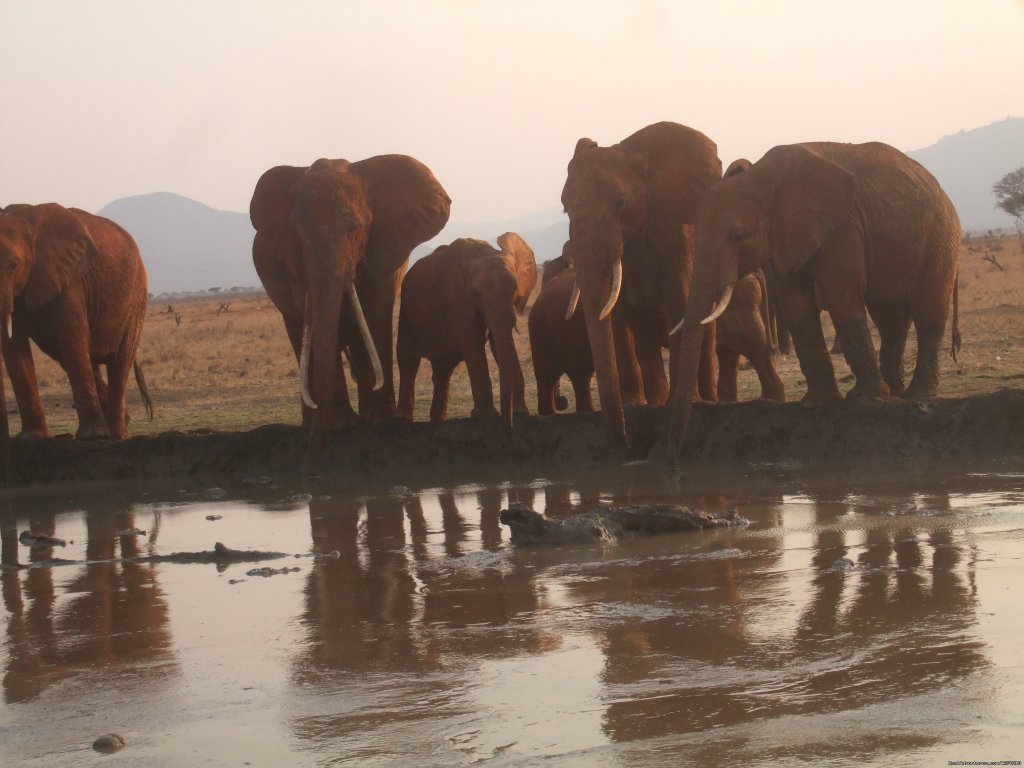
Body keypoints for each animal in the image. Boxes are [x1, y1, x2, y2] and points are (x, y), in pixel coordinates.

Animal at [0, 204, 153, 479]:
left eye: (13, 265)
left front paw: (91, 438)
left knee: (119, 360)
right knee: (85, 361)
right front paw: (30, 439)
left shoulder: (70, 280)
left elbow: (71, 336)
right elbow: (13, 348)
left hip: (136, 298)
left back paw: (117, 436)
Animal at [249, 154, 450, 466]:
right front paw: (342, 426)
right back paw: (313, 421)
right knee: (297, 329)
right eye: (298, 234)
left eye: (355, 228)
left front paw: (378, 421)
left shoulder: (383, 249)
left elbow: (375, 311)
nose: (308, 468)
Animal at [393, 231, 536, 430]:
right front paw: (485, 416)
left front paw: (521, 413)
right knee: (408, 360)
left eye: (515, 289)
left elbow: (497, 344)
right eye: (476, 293)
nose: (509, 425)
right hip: (406, 313)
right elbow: (473, 346)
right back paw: (403, 419)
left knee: (442, 369)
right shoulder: (457, 303)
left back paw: (438, 420)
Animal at [561, 119, 720, 444]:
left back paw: (709, 400)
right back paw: (655, 401)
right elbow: (616, 312)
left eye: (620, 204)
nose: (626, 442)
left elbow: (677, 300)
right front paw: (634, 406)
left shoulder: (676, 232)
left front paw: (674, 406)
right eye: (565, 208)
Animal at [667, 141, 962, 460]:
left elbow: (841, 296)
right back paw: (895, 392)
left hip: (941, 239)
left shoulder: (841, 227)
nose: (675, 457)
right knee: (890, 319)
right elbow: (796, 306)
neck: (761, 177)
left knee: (928, 314)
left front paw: (864, 398)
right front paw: (816, 403)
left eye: (737, 236)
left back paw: (915, 394)